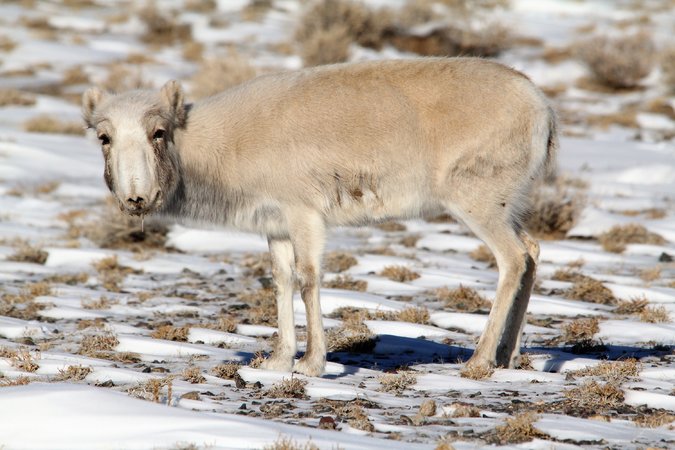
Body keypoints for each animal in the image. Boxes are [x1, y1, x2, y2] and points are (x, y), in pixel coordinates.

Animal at [83, 59, 560, 376]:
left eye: (158, 131)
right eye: (103, 137)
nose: (137, 198)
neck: (222, 142)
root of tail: (541, 106)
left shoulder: (305, 216)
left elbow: (309, 280)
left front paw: (312, 363)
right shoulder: (275, 227)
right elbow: (281, 281)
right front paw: (277, 360)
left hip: (478, 205)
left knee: (513, 259)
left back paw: (479, 360)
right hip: (507, 207)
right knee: (534, 251)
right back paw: (508, 356)